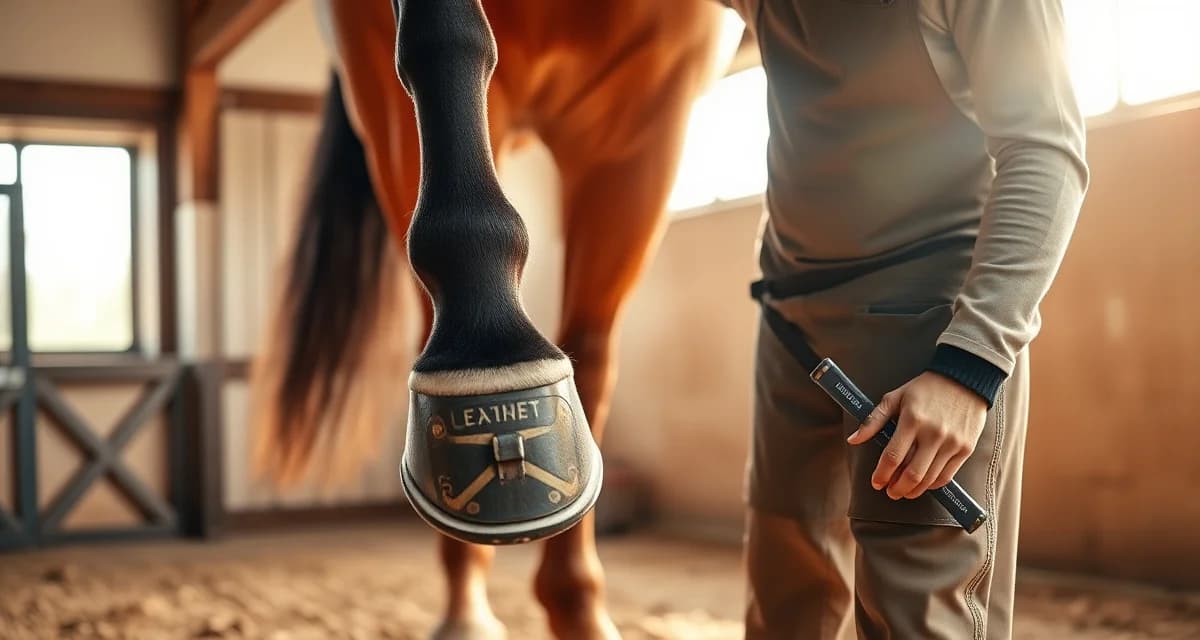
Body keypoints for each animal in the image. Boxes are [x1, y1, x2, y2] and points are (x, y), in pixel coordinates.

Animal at [249, 1, 729, 637]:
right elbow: (447, 38)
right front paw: (491, 353)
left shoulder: (645, 121)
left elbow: (591, 359)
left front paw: (578, 608)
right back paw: (465, 611)